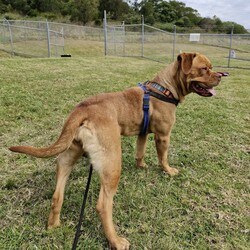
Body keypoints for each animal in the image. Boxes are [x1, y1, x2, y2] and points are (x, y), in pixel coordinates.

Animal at [9, 52, 226, 248]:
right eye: (204, 69)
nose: (221, 75)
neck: (165, 88)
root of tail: (82, 109)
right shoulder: (163, 136)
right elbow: (163, 157)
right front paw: (168, 171)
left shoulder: (142, 133)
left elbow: (140, 152)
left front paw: (141, 166)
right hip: (112, 164)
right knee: (103, 206)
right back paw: (116, 241)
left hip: (68, 157)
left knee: (57, 195)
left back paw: (53, 225)